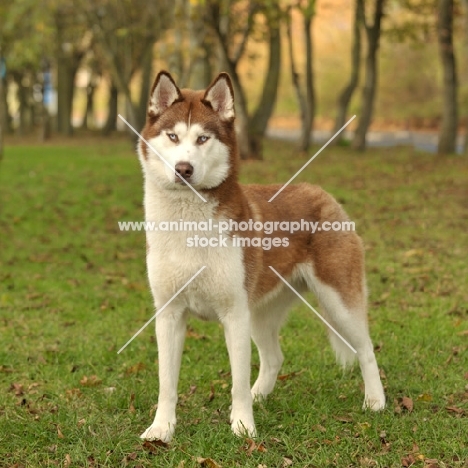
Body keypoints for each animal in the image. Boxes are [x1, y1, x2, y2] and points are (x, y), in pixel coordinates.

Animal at [136, 70, 384, 442]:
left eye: (203, 139)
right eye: (173, 136)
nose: (183, 169)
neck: (188, 224)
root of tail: (323, 193)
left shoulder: (233, 314)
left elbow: (236, 380)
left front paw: (242, 426)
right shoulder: (168, 314)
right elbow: (167, 383)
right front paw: (161, 429)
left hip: (338, 302)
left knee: (366, 349)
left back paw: (375, 401)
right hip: (261, 312)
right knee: (274, 358)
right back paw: (260, 396)